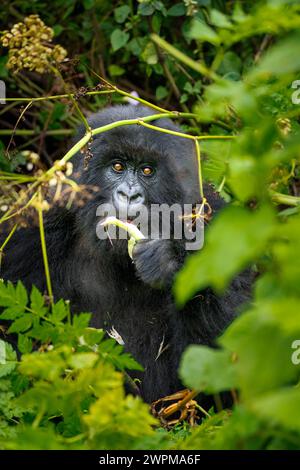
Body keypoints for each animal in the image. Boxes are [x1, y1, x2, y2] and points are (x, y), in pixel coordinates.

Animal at [0, 106, 251, 404]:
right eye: (117, 167)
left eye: (147, 171)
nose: (129, 195)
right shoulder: (35, 223)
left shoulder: (214, 219)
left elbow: (221, 361)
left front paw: (166, 260)